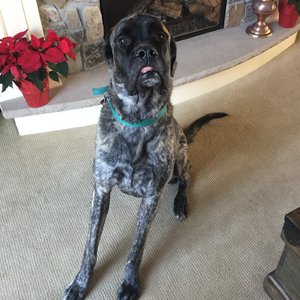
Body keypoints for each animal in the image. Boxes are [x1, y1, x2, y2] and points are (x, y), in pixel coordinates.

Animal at [64, 13, 226, 300]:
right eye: (122, 40)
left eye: (160, 36)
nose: (146, 52)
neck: (137, 119)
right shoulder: (101, 189)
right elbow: (90, 245)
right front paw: (81, 283)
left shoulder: (151, 196)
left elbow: (136, 248)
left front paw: (129, 283)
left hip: (181, 155)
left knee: (187, 178)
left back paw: (180, 203)